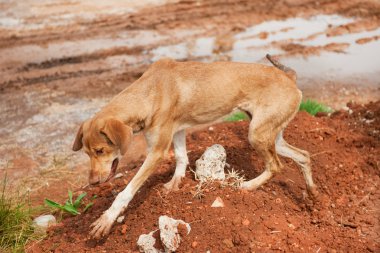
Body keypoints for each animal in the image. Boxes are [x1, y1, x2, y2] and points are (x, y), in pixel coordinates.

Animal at [72, 54, 318, 238]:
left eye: (100, 151)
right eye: (86, 153)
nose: (92, 183)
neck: (149, 92)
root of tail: (289, 77)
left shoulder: (156, 151)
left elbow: (126, 191)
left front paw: (106, 219)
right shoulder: (178, 130)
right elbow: (181, 158)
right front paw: (175, 183)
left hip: (257, 134)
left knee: (276, 166)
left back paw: (248, 186)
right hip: (271, 134)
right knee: (304, 155)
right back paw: (313, 195)